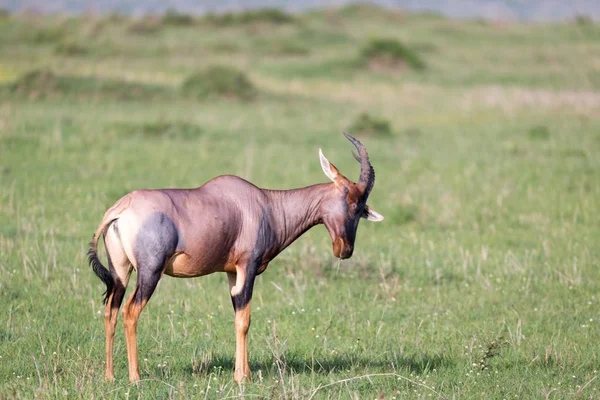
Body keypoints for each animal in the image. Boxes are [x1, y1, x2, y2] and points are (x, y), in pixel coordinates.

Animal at [88, 133, 384, 382]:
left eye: (362, 209)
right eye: (351, 201)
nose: (345, 250)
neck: (264, 203)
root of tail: (121, 208)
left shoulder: (231, 272)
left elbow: (237, 316)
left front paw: (243, 373)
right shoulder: (247, 267)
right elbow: (245, 320)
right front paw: (243, 378)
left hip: (120, 272)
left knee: (110, 312)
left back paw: (110, 377)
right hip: (150, 272)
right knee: (130, 312)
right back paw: (135, 378)